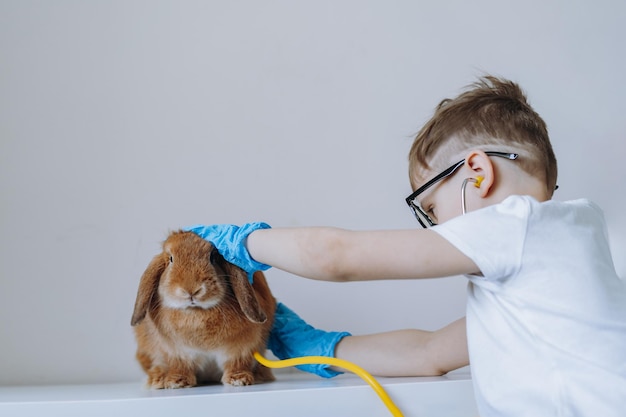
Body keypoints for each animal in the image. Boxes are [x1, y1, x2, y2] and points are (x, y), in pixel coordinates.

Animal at [130, 231, 274, 386]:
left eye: (213, 257)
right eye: (171, 259)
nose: (191, 290)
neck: (196, 312)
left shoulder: (239, 349)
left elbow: (236, 364)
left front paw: (238, 379)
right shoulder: (177, 352)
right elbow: (180, 366)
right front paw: (177, 381)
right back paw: (157, 379)